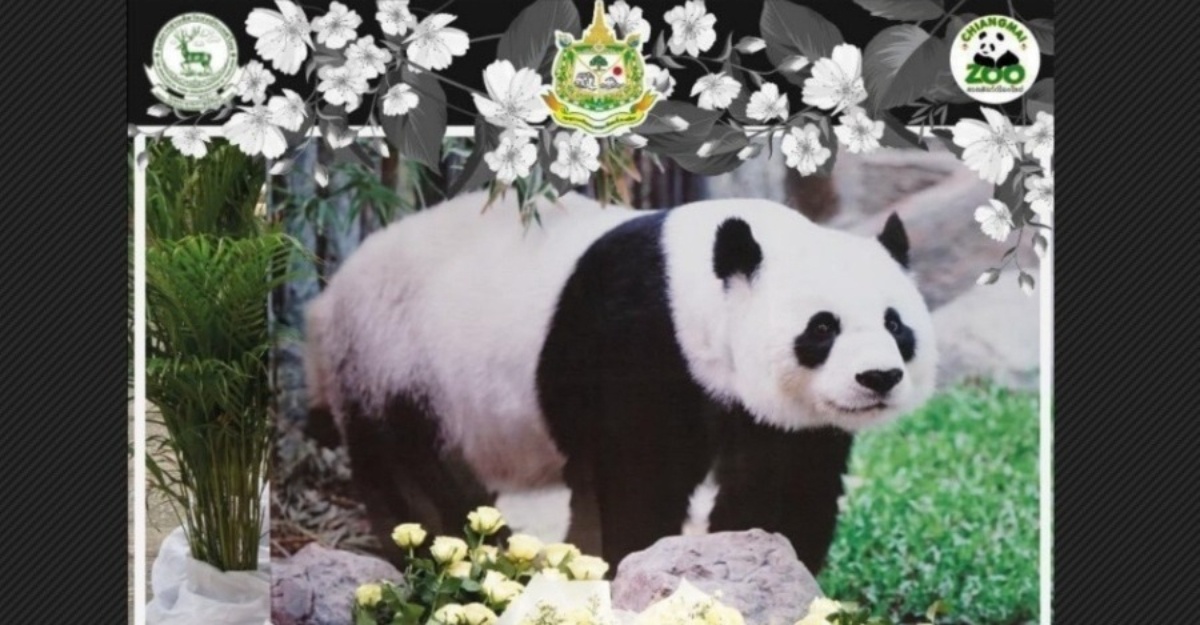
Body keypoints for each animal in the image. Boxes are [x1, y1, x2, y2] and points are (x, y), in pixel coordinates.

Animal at [304, 191, 937, 572]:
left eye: (895, 323)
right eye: (823, 327)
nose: (878, 378)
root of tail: (326, 301)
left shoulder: (770, 414)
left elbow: (783, 479)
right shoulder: (639, 338)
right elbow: (639, 475)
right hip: (394, 361)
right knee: (413, 478)